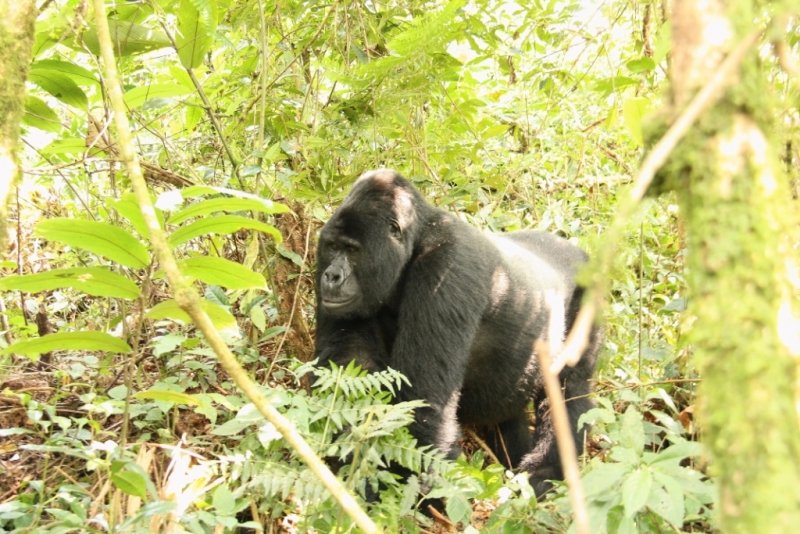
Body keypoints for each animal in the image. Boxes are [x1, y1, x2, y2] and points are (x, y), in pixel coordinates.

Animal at [312, 171, 600, 498]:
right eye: (332, 247)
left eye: (351, 250)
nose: (331, 276)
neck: (416, 241)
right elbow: (350, 372)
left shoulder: (447, 265)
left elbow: (425, 406)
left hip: (588, 292)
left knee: (571, 389)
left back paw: (547, 472)